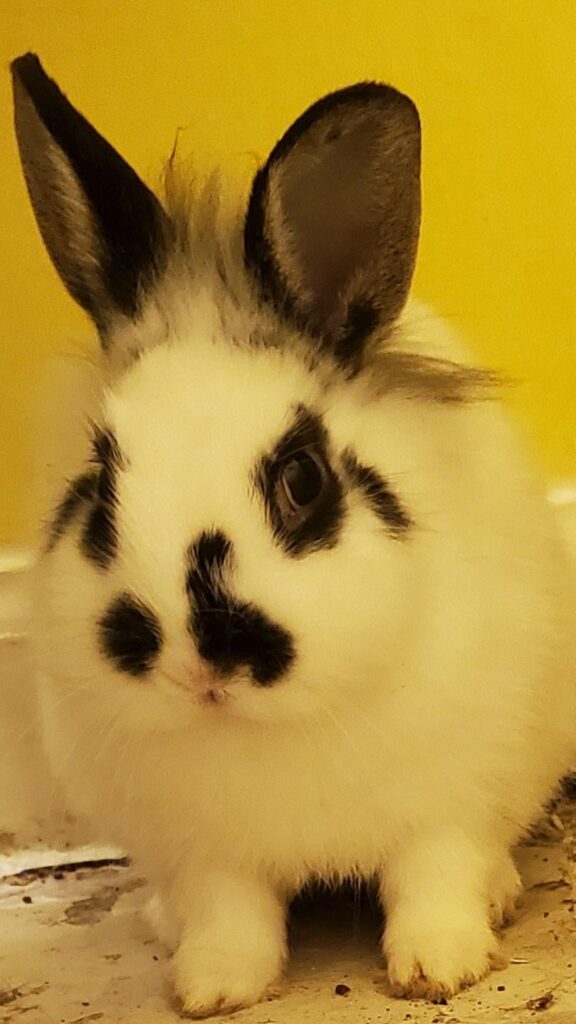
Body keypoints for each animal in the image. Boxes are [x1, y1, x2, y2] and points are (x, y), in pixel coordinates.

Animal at [11, 52, 576, 1017]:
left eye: (303, 480)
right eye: (99, 486)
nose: (198, 663)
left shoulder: (447, 803)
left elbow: (435, 877)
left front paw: (440, 967)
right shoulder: (206, 853)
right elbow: (229, 914)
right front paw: (213, 986)